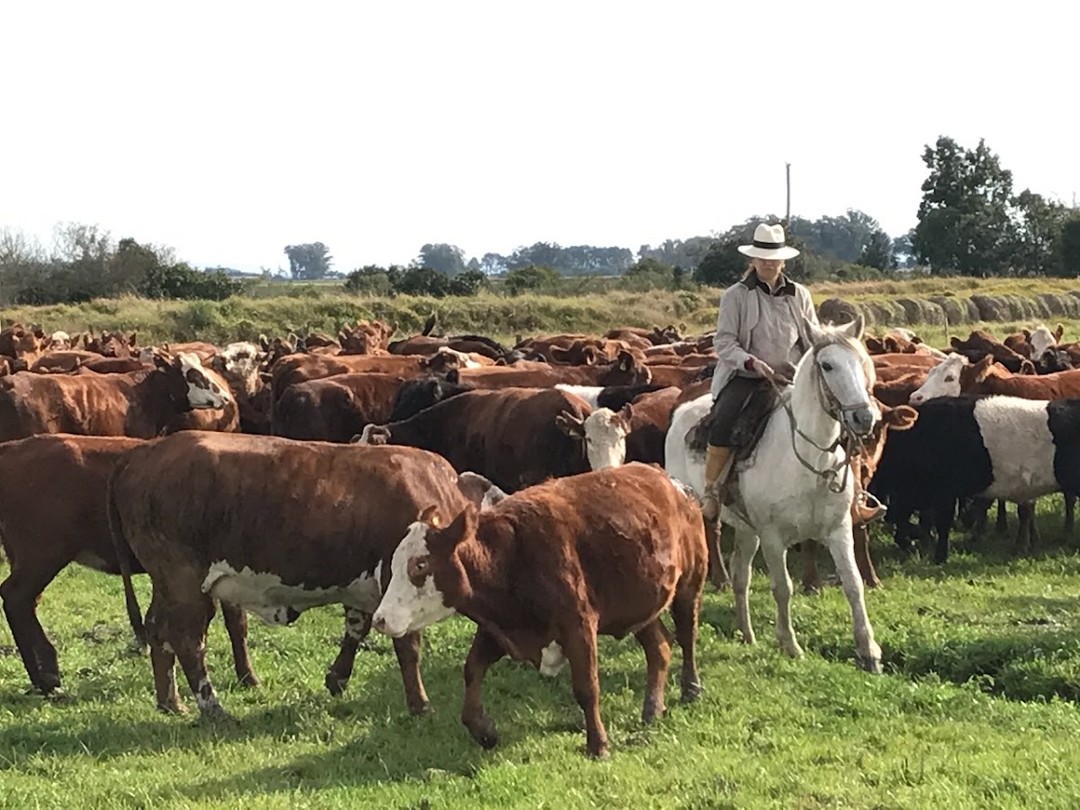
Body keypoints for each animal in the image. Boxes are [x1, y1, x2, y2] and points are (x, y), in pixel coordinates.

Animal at [665, 316, 883, 672]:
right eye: (828, 365)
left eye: (863, 362)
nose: (864, 418)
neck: (811, 461)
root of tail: (682, 411)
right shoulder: (772, 536)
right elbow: (783, 588)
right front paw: (789, 644)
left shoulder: (838, 531)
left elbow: (853, 584)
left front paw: (869, 650)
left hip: (746, 530)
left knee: (740, 574)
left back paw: (746, 633)